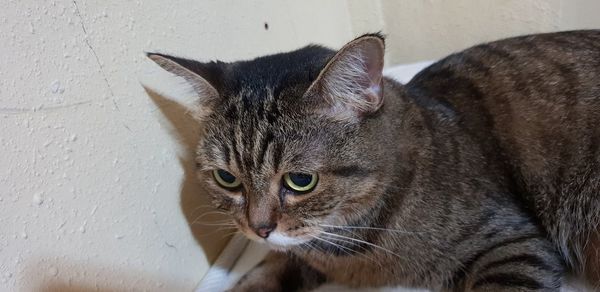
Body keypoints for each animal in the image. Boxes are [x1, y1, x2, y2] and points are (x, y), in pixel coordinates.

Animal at [146, 30, 600, 292]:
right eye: (227, 178)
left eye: (300, 181)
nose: (259, 230)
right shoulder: (298, 255)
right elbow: (265, 273)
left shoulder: (511, 243)